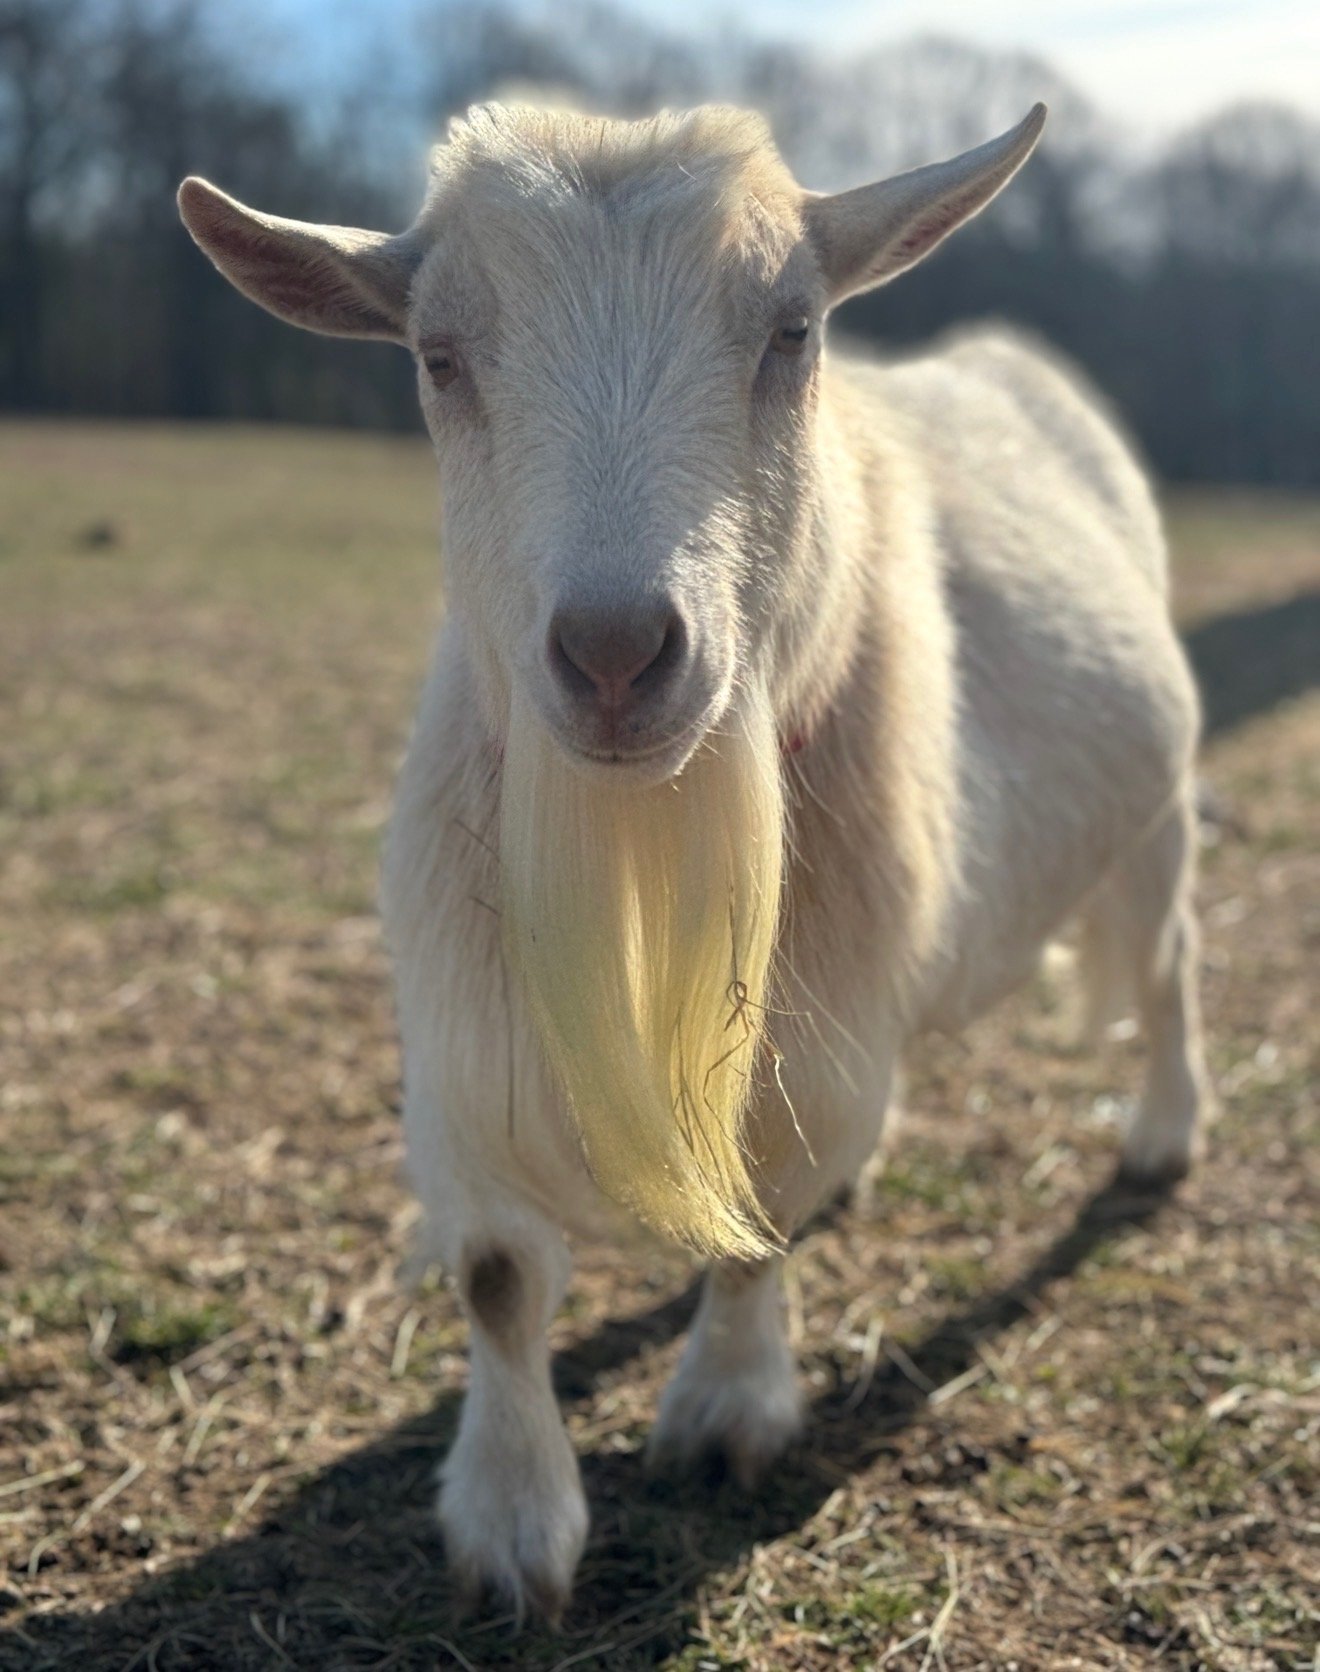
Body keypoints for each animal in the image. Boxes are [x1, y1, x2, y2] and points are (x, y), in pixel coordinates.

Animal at [178, 100, 1210, 1620]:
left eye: (794, 329)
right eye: (439, 356)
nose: (617, 654)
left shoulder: (813, 1025)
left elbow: (761, 1220)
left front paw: (726, 1415)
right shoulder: (459, 1030)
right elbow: (498, 1274)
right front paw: (510, 1529)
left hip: (1157, 814)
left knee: (1170, 962)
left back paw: (1162, 1134)